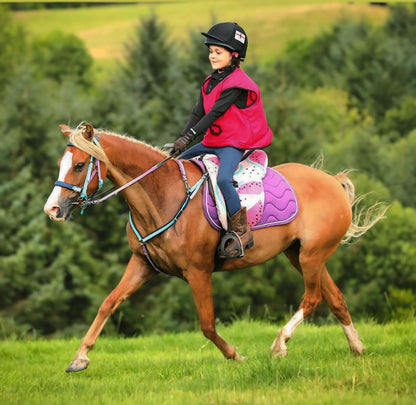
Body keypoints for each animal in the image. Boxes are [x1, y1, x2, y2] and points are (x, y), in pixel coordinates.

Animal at [44, 123, 386, 372]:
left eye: (78, 165)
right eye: (61, 164)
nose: (52, 210)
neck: (162, 196)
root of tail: (332, 181)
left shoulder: (198, 271)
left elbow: (207, 325)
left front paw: (237, 356)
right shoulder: (141, 264)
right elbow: (108, 303)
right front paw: (80, 357)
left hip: (312, 255)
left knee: (313, 298)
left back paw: (280, 344)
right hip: (299, 254)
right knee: (335, 298)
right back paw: (357, 348)